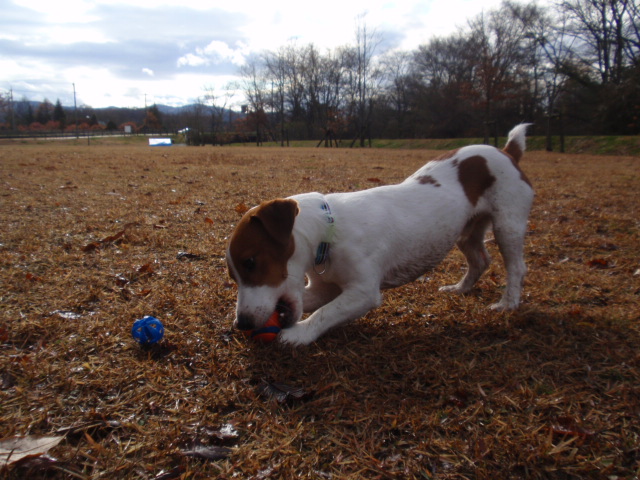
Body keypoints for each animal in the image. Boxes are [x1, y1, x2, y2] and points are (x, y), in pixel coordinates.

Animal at [228, 124, 532, 344]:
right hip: (466, 232)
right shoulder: (325, 288)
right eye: (234, 276)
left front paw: (299, 334)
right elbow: (314, 302)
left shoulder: (363, 292)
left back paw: (507, 303)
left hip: (508, 225)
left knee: (516, 267)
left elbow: (325, 313)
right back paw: (460, 288)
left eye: (250, 262)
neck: (328, 232)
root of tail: (506, 152)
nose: (242, 323)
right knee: (480, 260)